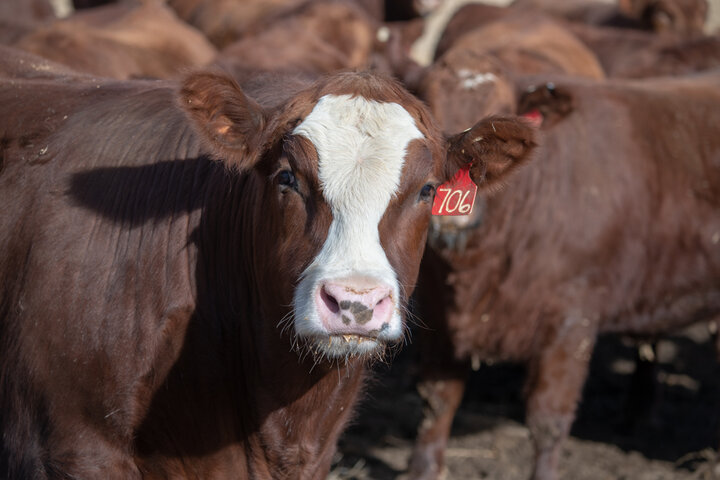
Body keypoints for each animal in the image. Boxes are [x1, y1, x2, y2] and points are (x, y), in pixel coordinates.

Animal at [404, 72, 720, 480]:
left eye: (488, 126)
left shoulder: (572, 320)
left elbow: (548, 419)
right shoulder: (437, 310)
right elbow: (437, 399)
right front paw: (422, 469)